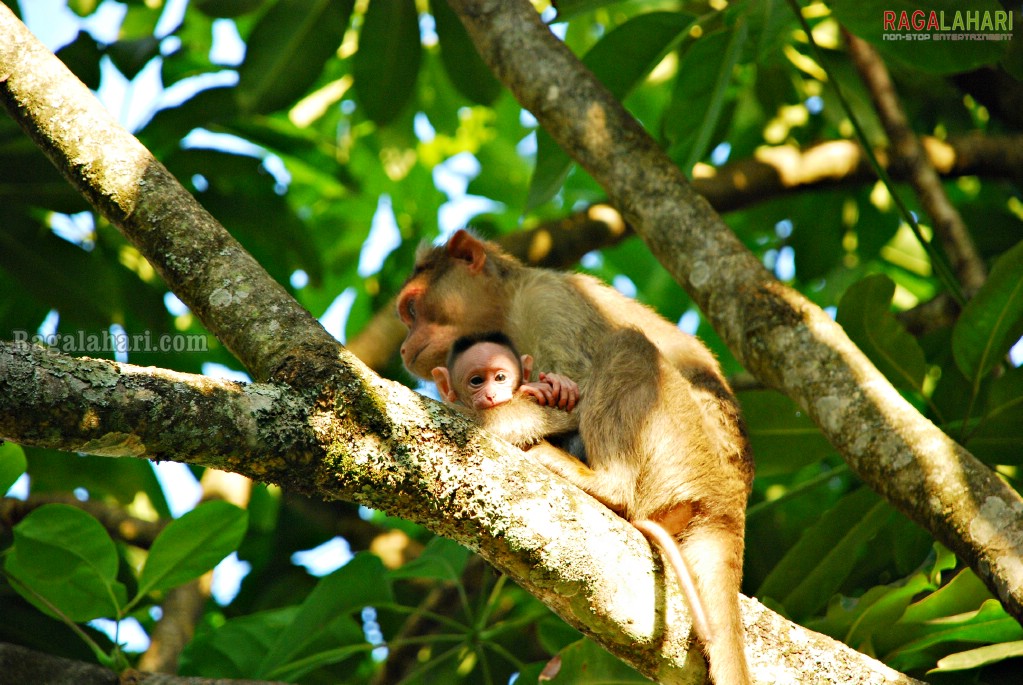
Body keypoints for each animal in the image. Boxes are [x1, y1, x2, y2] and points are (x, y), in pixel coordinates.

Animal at [394, 231, 757, 685]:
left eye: (412, 310)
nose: (404, 346)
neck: (509, 303)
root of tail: (729, 507)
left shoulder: (550, 303)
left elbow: (573, 394)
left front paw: (466, 412)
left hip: (682, 452)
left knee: (628, 346)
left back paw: (605, 484)